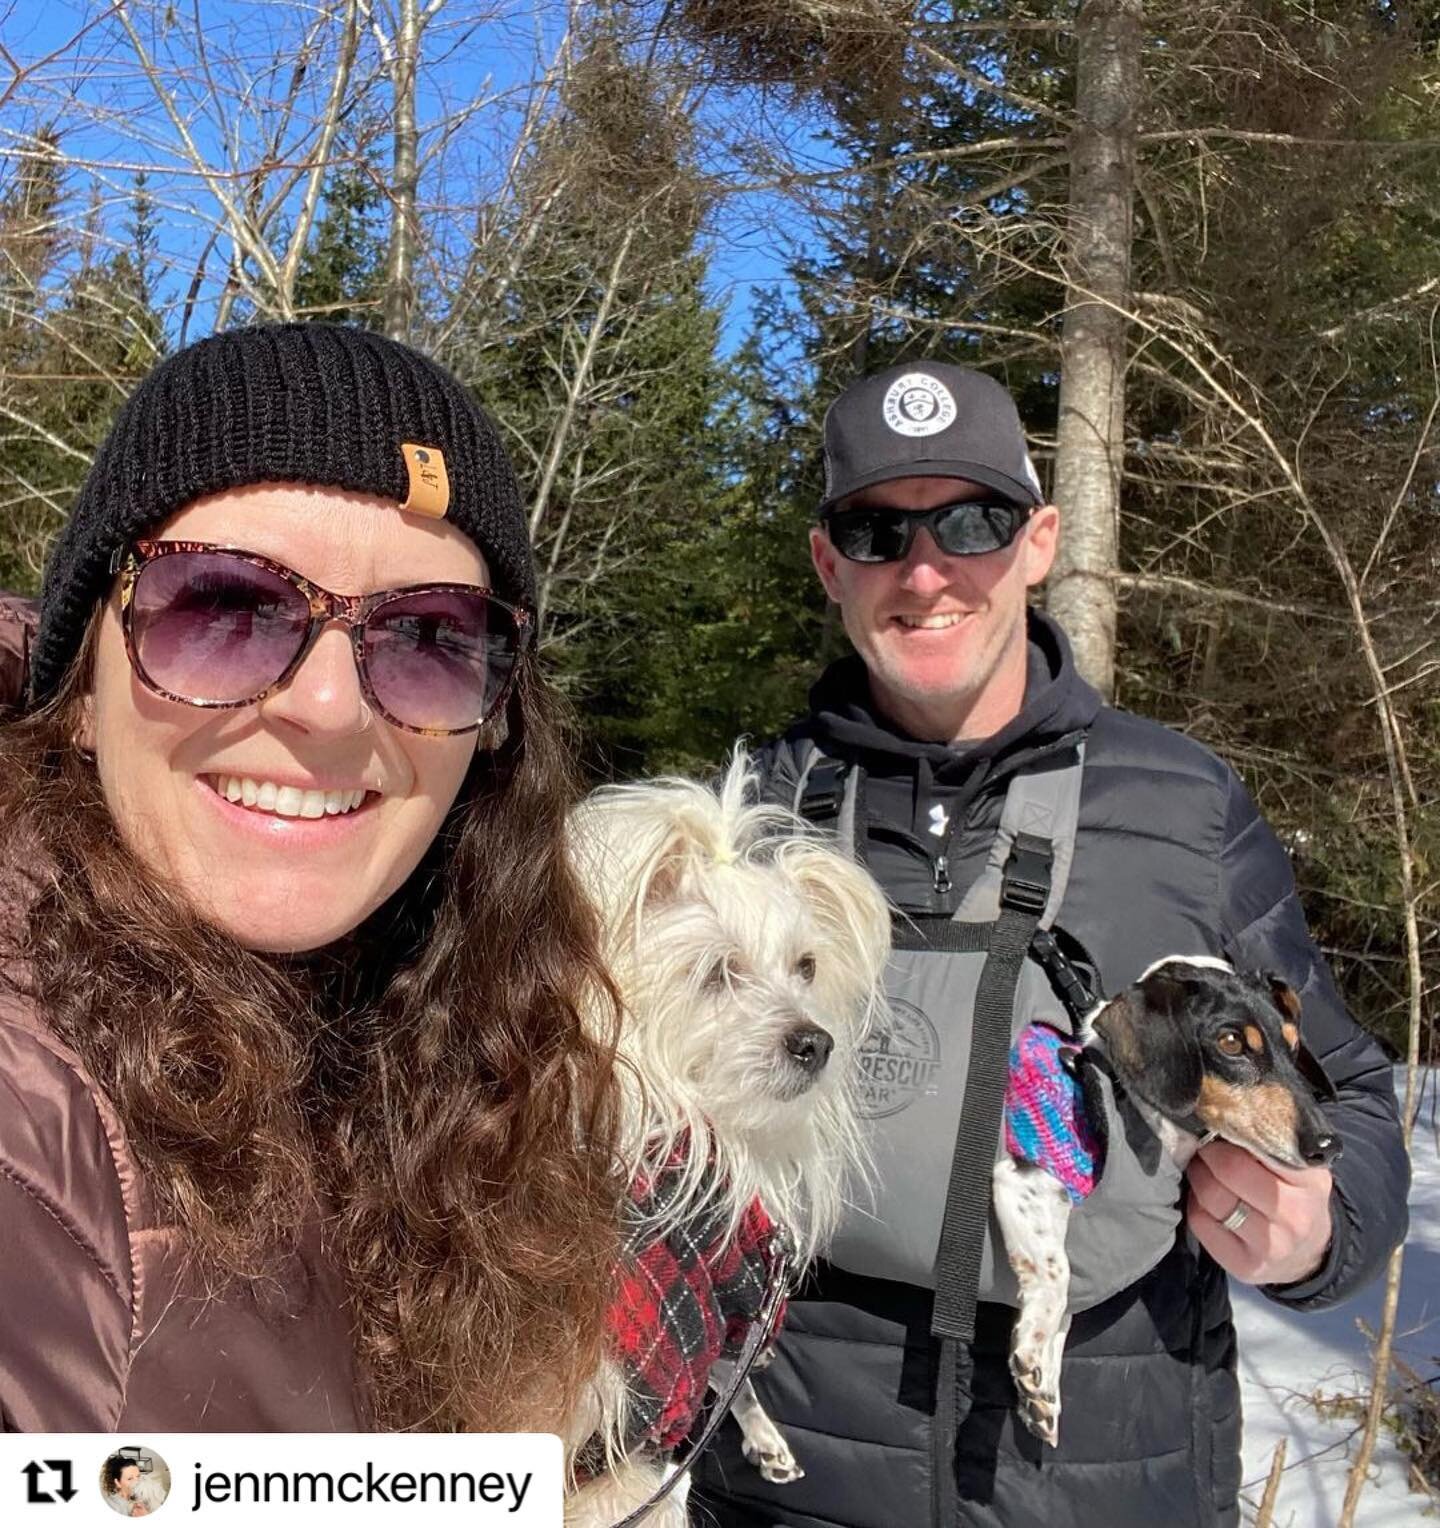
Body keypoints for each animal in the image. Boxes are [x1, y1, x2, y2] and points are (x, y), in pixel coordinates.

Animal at [996, 953, 1345, 1442]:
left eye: (1294, 1046)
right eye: (1231, 1042)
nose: (1327, 1145)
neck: (1122, 1098)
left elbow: (1068, 1308)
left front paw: (1041, 1392)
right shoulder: (1024, 1177)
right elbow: (1056, 1275)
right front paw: (1033, 1354)